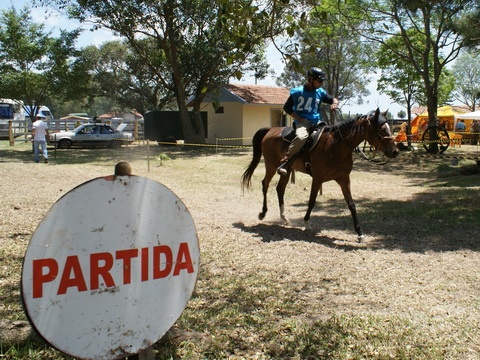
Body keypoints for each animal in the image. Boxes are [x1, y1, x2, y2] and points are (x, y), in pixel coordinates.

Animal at [242, 108, 400, 240]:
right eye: (382, 129)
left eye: (389, 128)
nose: (395, 151)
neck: (337, 146)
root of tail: (270, 130)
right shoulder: (317, 178)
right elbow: (312, 201)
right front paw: (306, 223)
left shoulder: (344, 179)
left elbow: (351, 204)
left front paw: (360, 233)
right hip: (271, 165)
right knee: (265, 184)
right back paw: (263, 213)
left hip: (286, 171)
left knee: (280, 188)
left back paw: (284, 218)